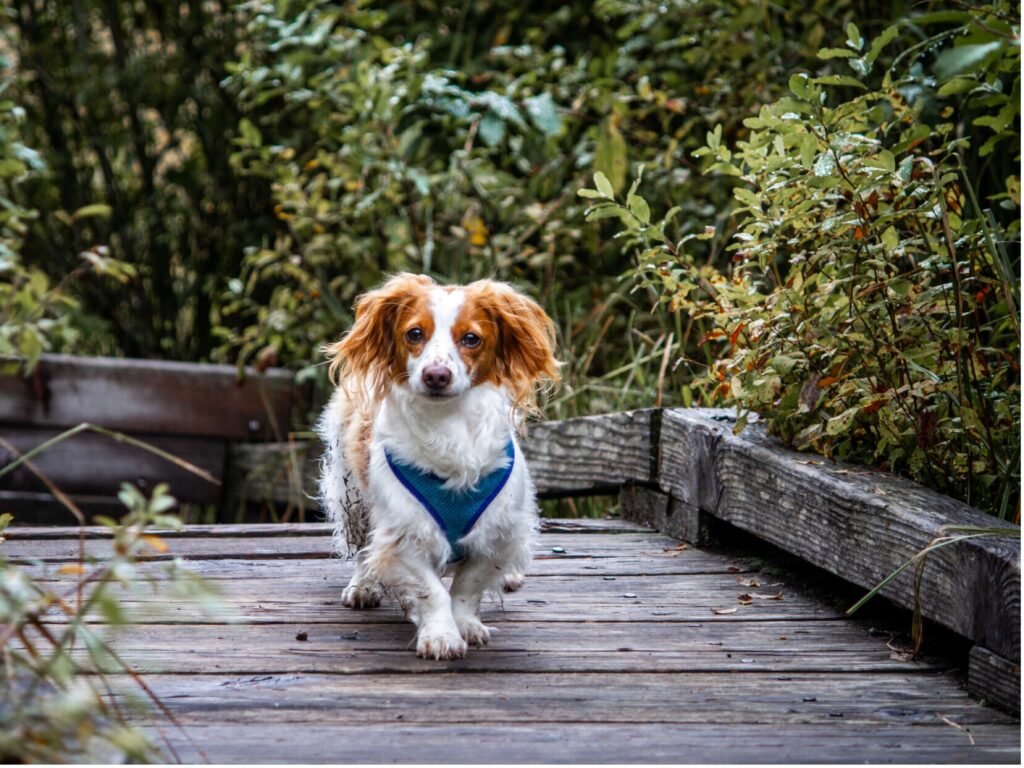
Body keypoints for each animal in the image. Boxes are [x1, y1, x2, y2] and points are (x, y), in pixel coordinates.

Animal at [319, 272, 561, 663]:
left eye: (471, 338)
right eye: (414, 334)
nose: (436, 375)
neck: (449, 426)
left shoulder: (497, 532)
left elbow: (467, 586)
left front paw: (465, 624)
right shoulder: (404, 532)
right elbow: (430, 590)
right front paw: (441, 635)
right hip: (351, 496)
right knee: (362, 547)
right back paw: (364, 585)